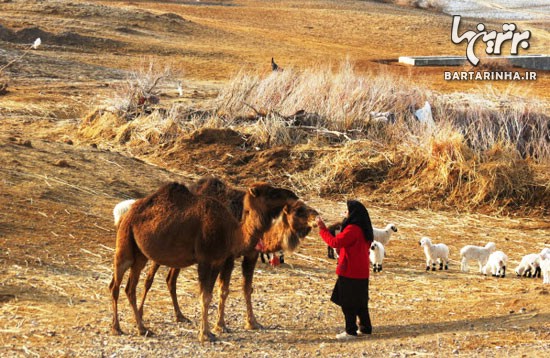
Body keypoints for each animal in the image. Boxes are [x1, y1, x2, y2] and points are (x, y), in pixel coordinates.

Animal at [108, 182, 298, 342]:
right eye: (271, 192)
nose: (293, 195)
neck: (232, 232)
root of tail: (125, 214)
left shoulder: (217, 261)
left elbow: (210, 294)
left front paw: (210, 331)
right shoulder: (205, 260)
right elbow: (204, 296)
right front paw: (205, 334)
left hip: (140, 254)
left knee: (131, 287)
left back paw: (143, 328)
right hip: (125, 244)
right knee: (115, 284)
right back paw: (116, 328)